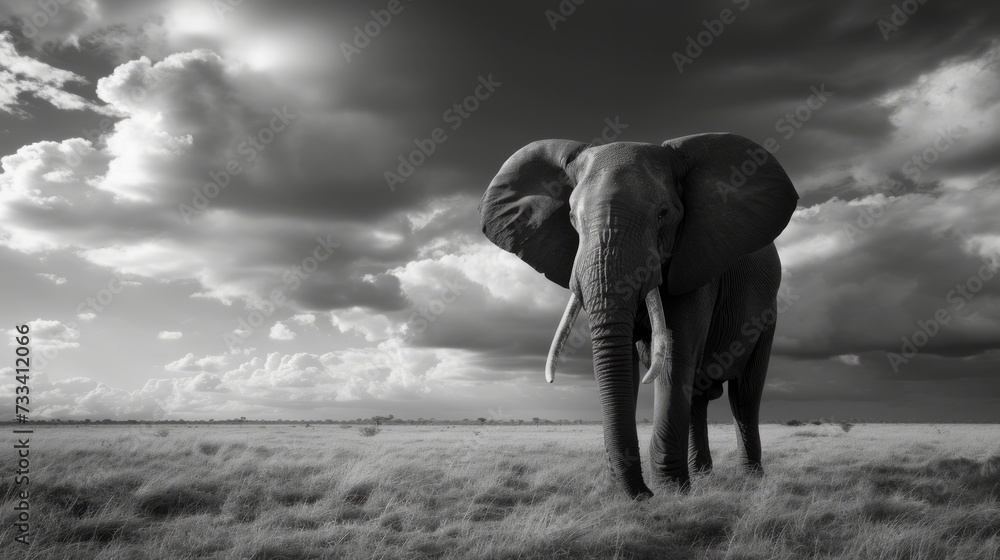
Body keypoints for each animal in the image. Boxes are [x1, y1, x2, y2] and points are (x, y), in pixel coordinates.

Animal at [479, 133, 798, 499]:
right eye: (571, 217)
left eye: (664, 213)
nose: (642, 495)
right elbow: (627, 365)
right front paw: (646, 490)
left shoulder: (697, 262)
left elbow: (675, 357)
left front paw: (672, 492)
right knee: (698, 396)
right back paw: (703, 475)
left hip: (768, 313)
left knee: (744, 395)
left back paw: (750, 478)